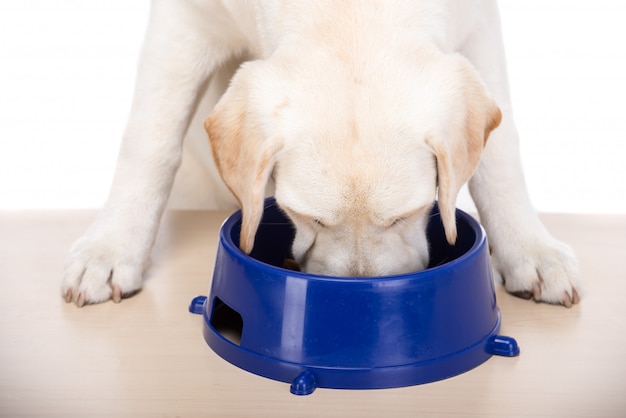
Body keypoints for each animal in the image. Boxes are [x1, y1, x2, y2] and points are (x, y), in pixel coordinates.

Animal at [59, 0, 580, 306]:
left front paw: (529, 249)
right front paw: (112, 247)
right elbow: (150, 137)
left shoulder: (479, 22)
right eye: (307, 218)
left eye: (406, 215)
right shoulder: (184, 19)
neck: (350, 9)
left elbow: (501, 155)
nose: (357, 290)